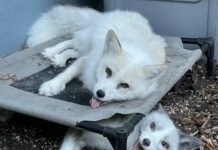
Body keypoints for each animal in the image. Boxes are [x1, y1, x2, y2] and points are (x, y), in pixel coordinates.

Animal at [27, 5, 167, 106]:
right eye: (108, 71)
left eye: (124, 85)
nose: (100, 93)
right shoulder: (87, 59)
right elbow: (66, 74)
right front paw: (52, 85)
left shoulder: (88, 57)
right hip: (84, 40)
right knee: (70, 41)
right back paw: (51, 52)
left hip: (86, 47)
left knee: (73, 51)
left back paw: (60, 58)